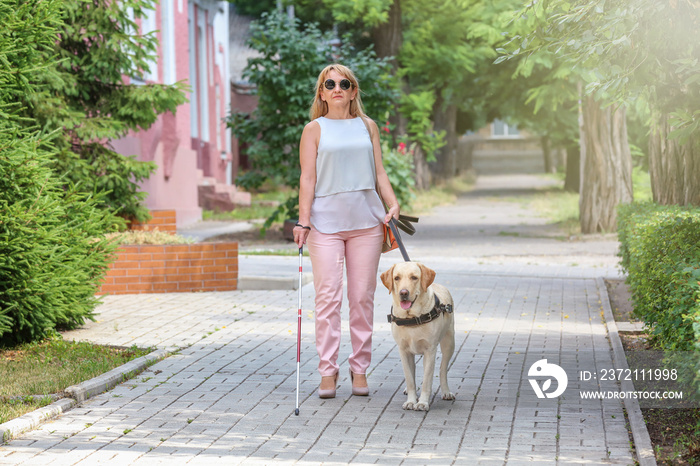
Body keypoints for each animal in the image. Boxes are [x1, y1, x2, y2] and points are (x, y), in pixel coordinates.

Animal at [380, 262, 456, 412]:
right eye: (396, 278)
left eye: (414, 277)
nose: (403, 293)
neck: (412, 318)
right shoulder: (403, 351)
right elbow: (409, 378)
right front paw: (411, 400)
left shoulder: (430, 350)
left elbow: (427, 379)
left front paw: (422, 403)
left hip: (449, 343)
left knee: (442, 369)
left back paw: (445, 391)